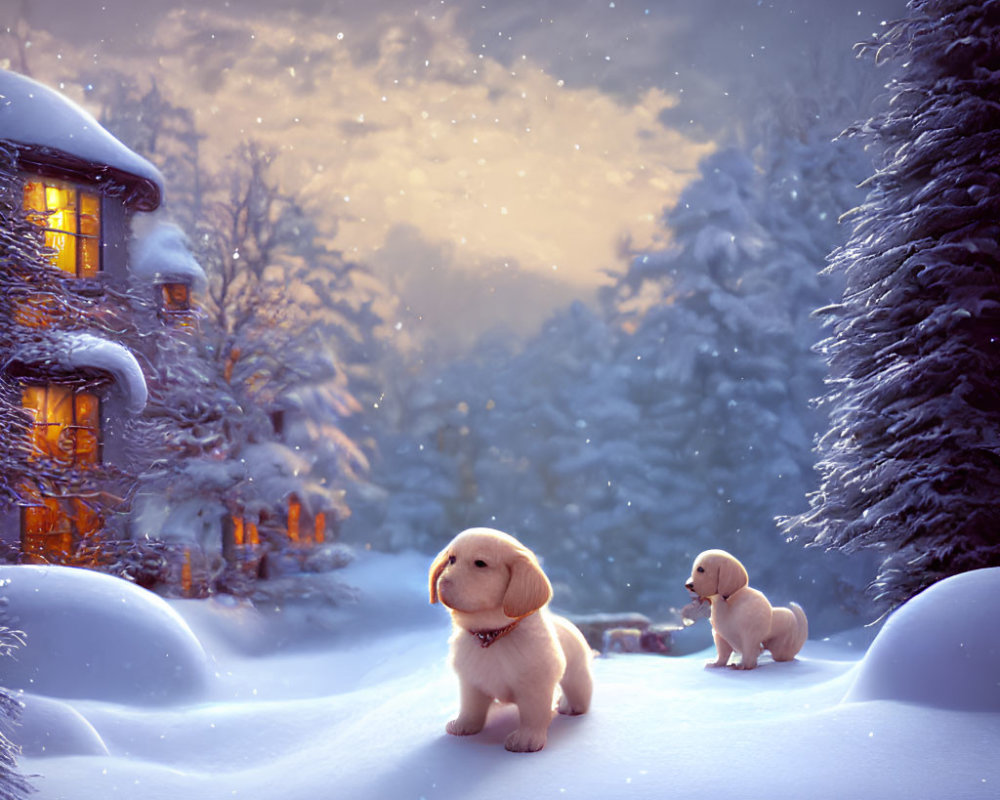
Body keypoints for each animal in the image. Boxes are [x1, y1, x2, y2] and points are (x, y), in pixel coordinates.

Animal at [426, 528, 588, 752]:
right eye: (451, 559)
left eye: (480, 563)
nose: (442, 583)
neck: (492, 634)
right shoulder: (471, 682)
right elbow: (471, 708)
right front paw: (463, 726)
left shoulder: (534, 686)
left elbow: (533, 715)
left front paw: (526, 740)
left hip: (577, 673)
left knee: (578, 690)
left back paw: (571, 706)